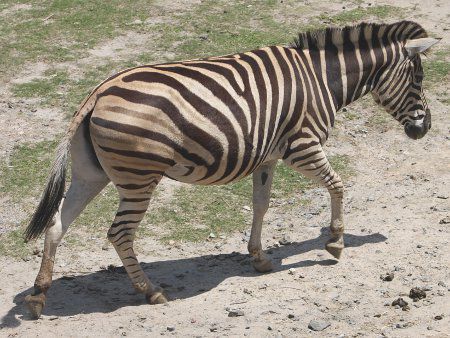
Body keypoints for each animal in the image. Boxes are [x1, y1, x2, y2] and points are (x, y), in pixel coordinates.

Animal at [22, 20, 438, 316]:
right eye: (418, 79)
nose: (424, 130)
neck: (323, 78)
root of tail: (98, 92)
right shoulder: (302, 147)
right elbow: (338, 185)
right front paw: (335, 241)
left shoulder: (268, 157)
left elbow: (261, 205)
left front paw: (259, 257)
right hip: (139, 178)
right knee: (120, 233)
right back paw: (150, 291)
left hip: (92, 173)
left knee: (56, 224)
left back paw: (39, 296)